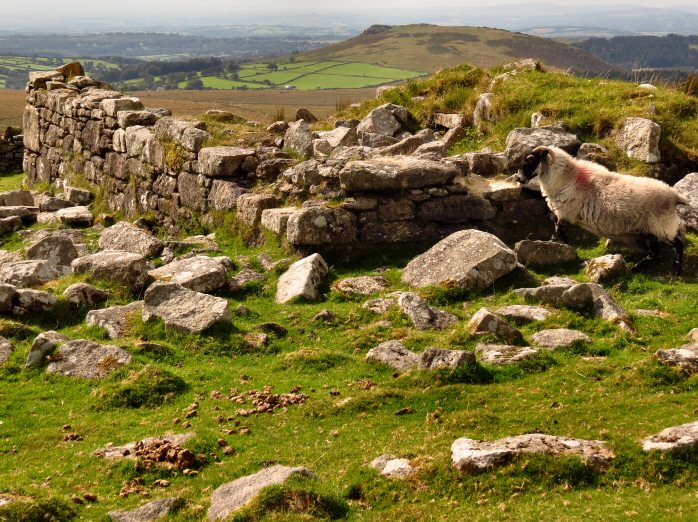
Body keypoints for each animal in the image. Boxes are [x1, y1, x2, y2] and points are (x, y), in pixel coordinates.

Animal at [516, 144, 684, 274]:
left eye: (530, 159)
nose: (518, 178)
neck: (567, 177)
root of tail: (674, 195)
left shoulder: (565, 211)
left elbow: (556, 225)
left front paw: (553, 241)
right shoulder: (564, 212)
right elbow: (554, 221)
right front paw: (563, 241)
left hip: (660, 225)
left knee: (676, 244)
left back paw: (674, 271)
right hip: (650, 228)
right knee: (656, 251)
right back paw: (639, 267)